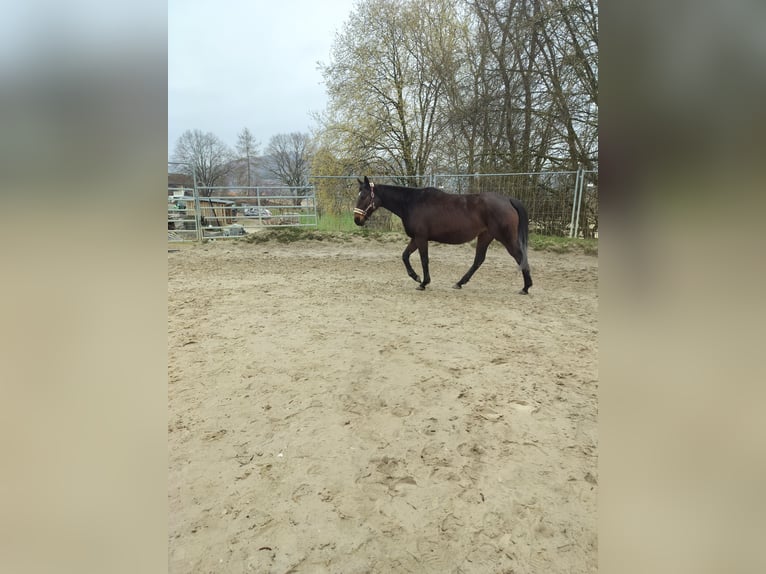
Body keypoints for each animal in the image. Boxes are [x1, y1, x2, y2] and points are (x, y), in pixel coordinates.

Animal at [353, 176, 533, 293]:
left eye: (364, 196)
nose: (357, 219)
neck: (411, 202)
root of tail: (508, 199)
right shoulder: (415, 238)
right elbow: (405, 256)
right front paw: (416, 277)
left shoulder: (421, 238)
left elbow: (424, 260)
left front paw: (423, 282)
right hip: (485, 236)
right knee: (478, 260)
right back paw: (460, 283)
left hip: (505, 237)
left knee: (519, 256)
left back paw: (526, 287)